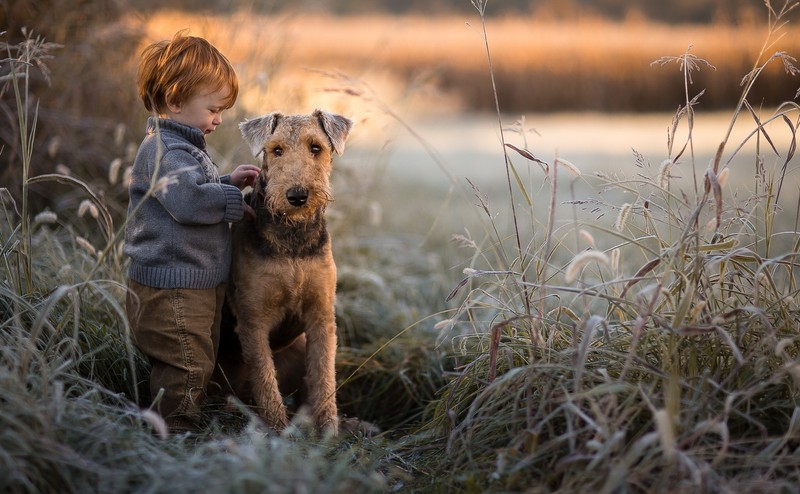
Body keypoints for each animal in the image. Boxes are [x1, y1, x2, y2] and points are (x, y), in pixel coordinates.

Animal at [219, 109, 354, 432]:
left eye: (316, 147)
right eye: (276, 150)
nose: (297, 196)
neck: (292, 236)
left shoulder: (321, 316)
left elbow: (323, 378)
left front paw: (329, 431)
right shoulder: (253, 321)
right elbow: (266, 382)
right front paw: (278, 433)